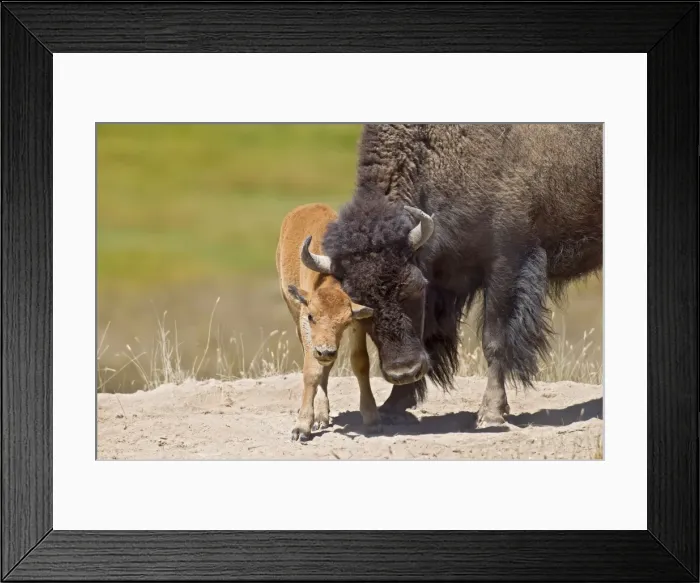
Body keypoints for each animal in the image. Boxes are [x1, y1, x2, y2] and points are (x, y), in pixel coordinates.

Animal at [275, 202, 382, 441]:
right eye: (312, 316)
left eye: (345, 322)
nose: (325, 351)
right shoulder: (305, 321)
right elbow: (311, 371)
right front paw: (301, 427)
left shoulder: (357, 323)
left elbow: (360, 363)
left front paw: (371, 417)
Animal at [300, 124, 603, 429]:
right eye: (359, 305)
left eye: (413, 288)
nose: (403, 371)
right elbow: (429, 336)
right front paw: (394, 405)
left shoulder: (505, 263)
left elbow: (494, 339)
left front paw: (491, 413)